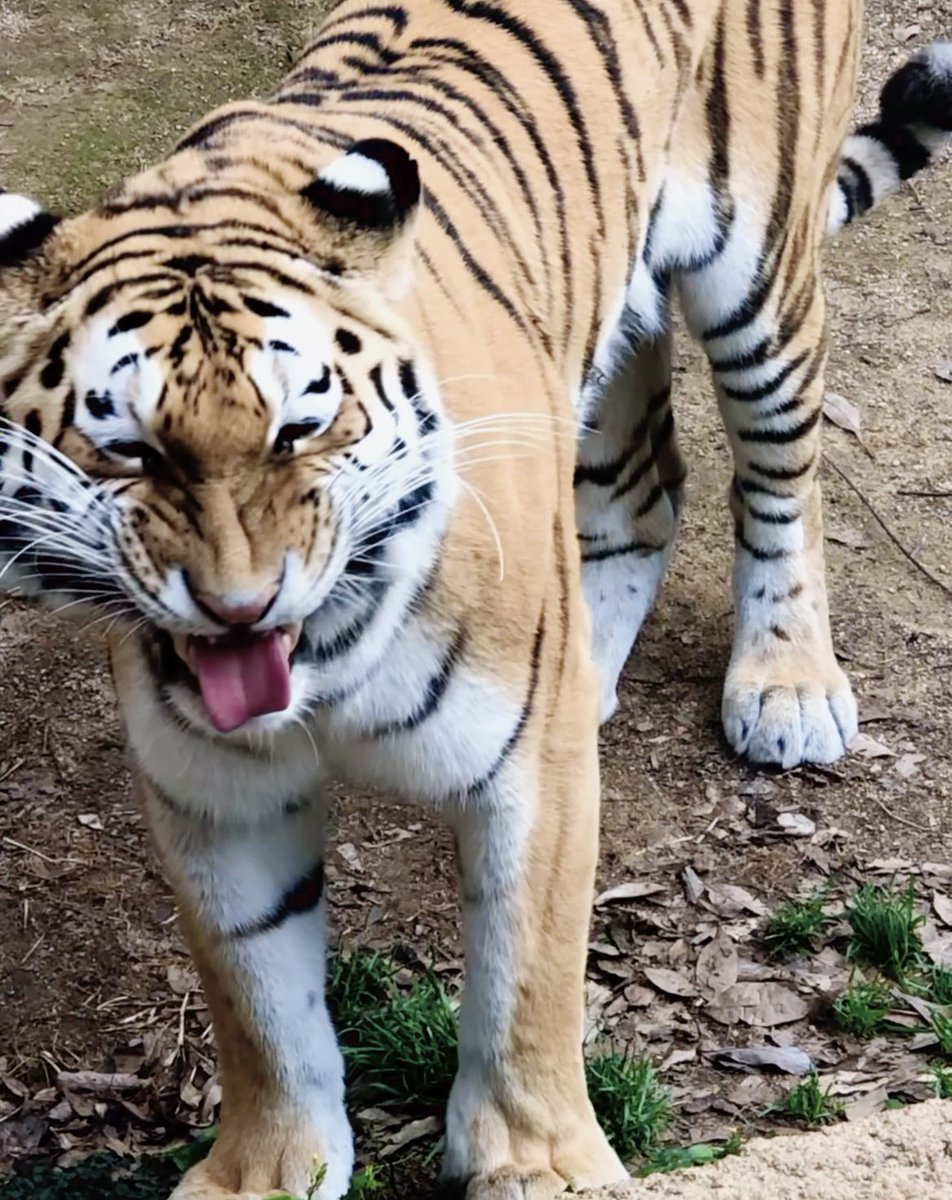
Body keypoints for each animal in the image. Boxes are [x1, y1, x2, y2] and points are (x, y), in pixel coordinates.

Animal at [1, 0, 950, 1195]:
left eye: (300, 427)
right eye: (127, 449)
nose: (238, 607)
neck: (327, 660)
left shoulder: (529, 777)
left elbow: (524, 985)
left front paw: (542, 1166)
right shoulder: (212, 797)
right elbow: (259, 1004)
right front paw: (266, 1170)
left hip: (759, 273)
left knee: (781, 473)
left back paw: (785, 686)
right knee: (645, 489)